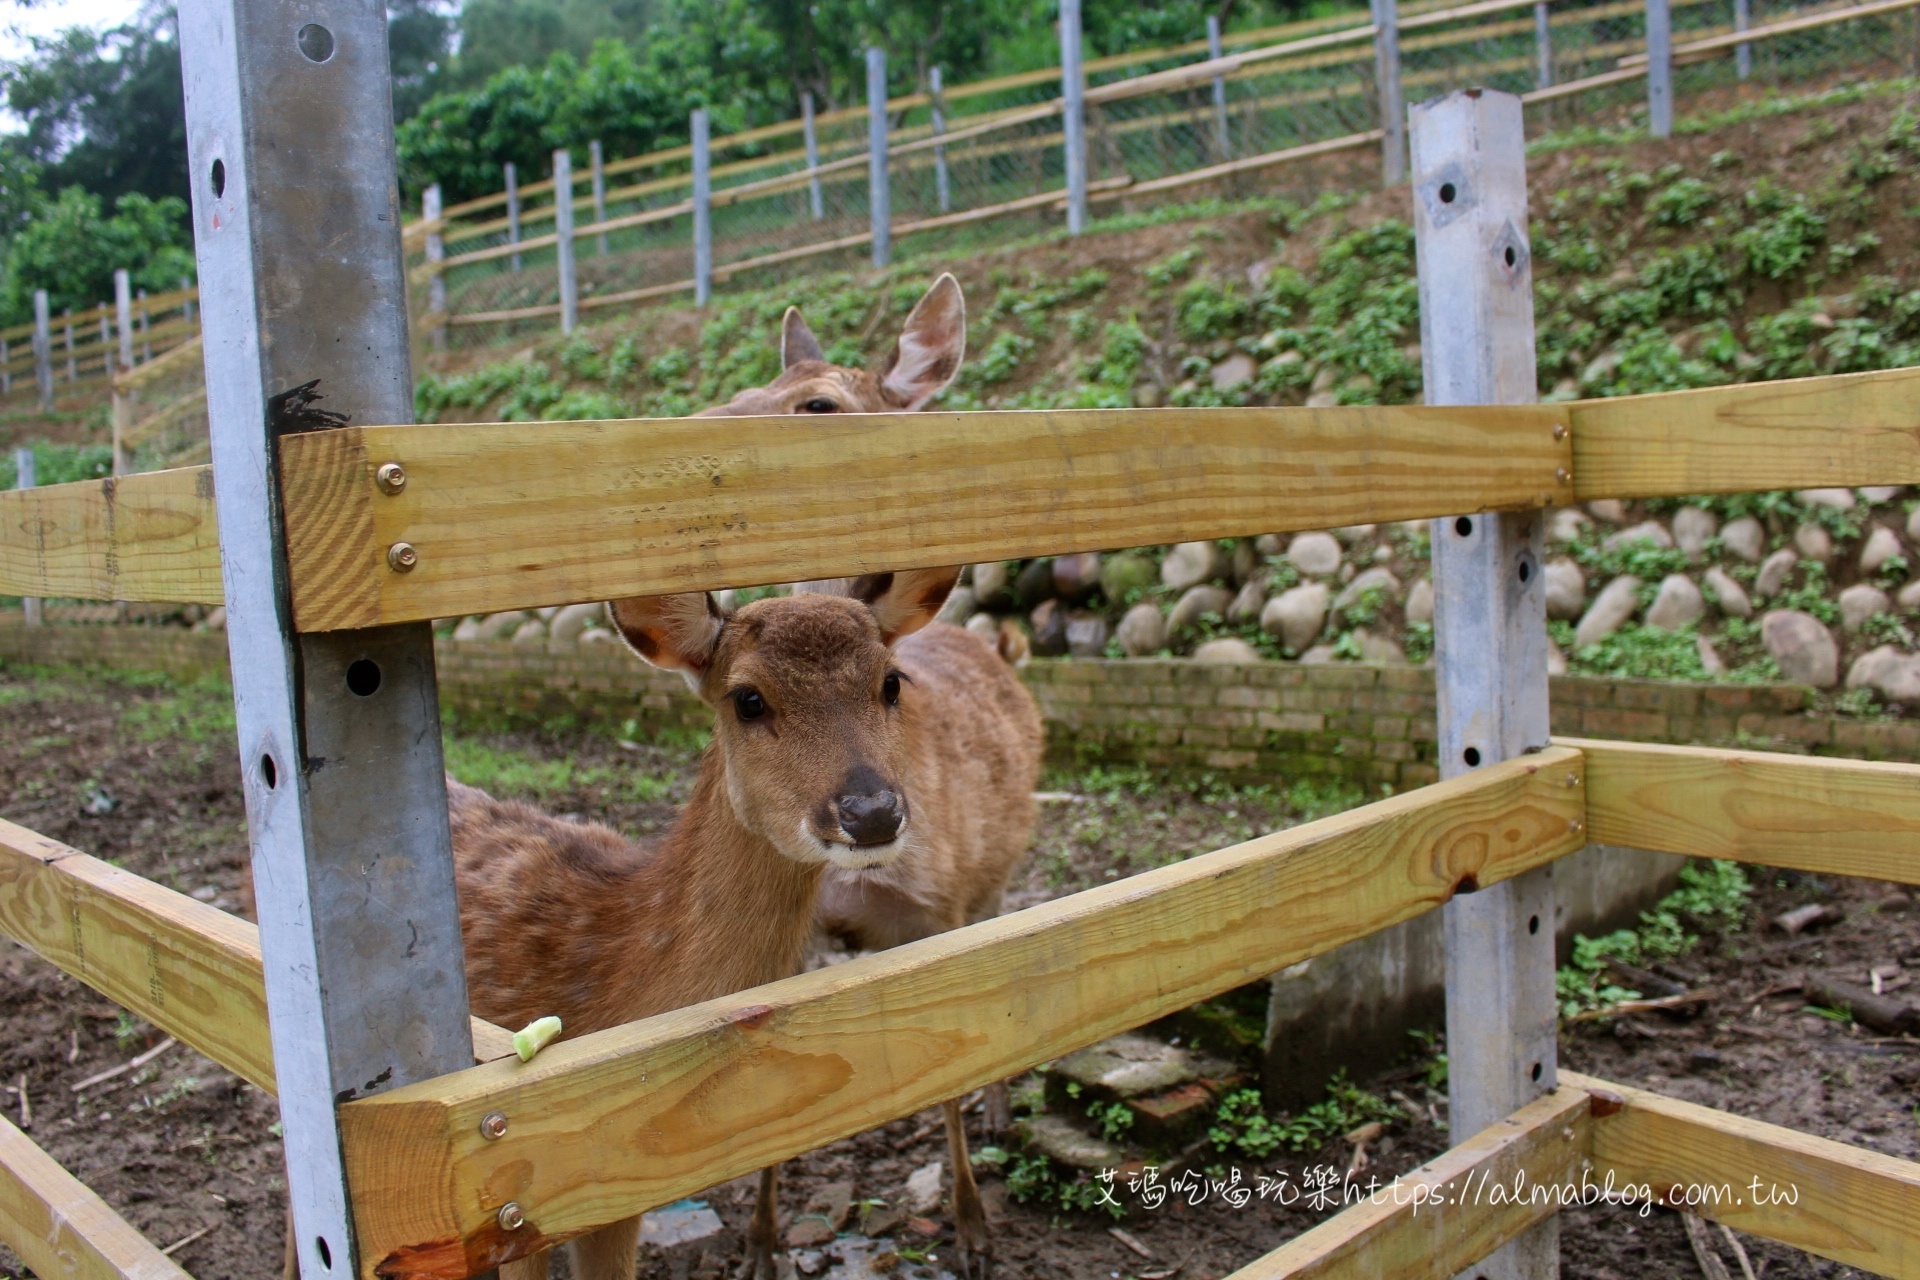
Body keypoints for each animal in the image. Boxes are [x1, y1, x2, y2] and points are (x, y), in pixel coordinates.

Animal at [443, 276, 1044, 1280]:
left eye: (890, 681)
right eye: (747, 698)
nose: (870, 811)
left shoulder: (940, 911)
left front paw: (972, 1231)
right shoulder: (529, 1187)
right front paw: (761, 1246)